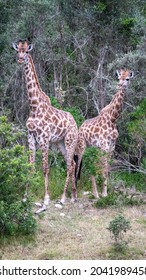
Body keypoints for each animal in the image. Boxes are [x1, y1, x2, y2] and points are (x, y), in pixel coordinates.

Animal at [12, 38, 78, 211]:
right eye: (17, 50)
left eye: (26, 52)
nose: (20, 59)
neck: (34, 106)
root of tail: (75, 123)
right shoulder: (30, 137)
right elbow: (30, 167)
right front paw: (25, 197)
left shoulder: (44, 138)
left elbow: (45, 167)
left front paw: (46, 199)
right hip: (61, 143)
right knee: (72, 163)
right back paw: (73, 196)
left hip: (70, 140)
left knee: (70, 165)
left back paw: (62, 198)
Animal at [75, 69, 133, 198]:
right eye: (118, 78)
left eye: (127, 79)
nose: (120, 85)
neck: (113, 118)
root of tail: (80, 128)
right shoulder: (104, 145)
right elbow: (104, 168)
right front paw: (104, 194)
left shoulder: (111, 146)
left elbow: (107, 169)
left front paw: (105, 193)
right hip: (82, 146)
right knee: (77, 164)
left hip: (93, 147)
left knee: (91, 164)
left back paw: (95, 194)